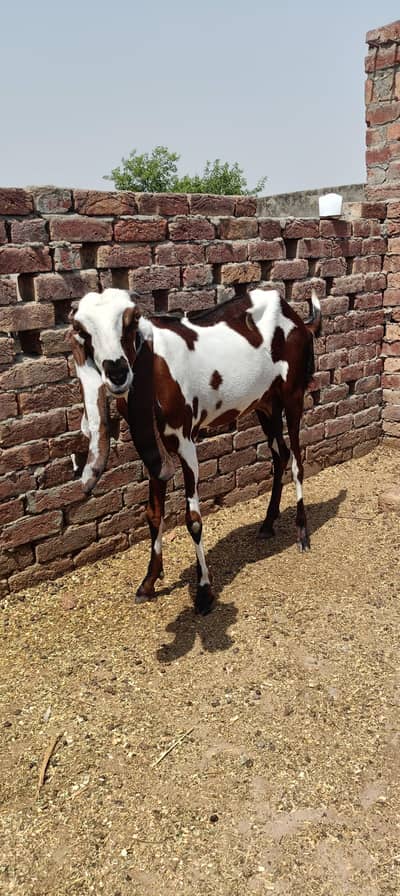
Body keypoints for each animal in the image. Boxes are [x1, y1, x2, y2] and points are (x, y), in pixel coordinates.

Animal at [69, 286, 321, 614]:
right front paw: (148, 582)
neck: (156, 371)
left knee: (297, 461)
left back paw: (302, 533)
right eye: (82, 330)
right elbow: (153, 513)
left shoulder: (186, 441)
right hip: (265, 403)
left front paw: (204, 592)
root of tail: (299, 319)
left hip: (292, 395)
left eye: (132, 319)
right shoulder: (153, 449)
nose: (117, 372)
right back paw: (267, 524)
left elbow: (194, 519)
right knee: (280, 455)